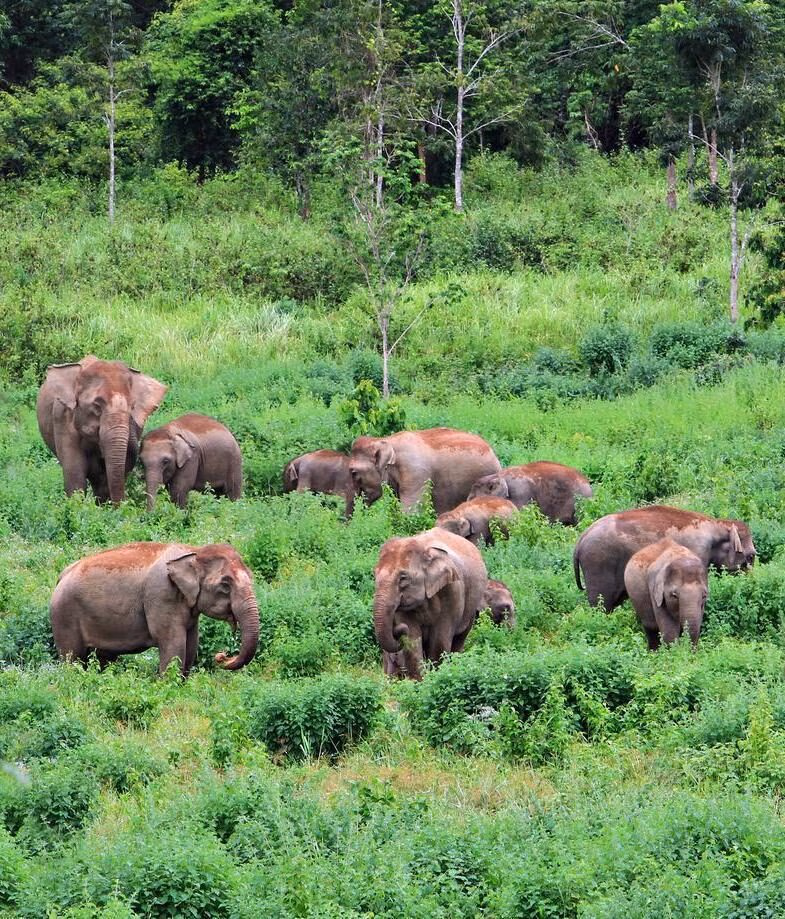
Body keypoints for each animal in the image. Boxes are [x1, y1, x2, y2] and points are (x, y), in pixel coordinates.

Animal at [50, 542, 260, 677]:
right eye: (225, 585)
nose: (221, 656)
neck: (194, 551)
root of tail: (61, 576)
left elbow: (191, 644)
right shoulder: (162, 595)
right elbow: (173, 643)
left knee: (105, 658)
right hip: (64, 615)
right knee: (72, 657)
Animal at [373, 527, 488, 680]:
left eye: (403, 578)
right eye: (374, 575)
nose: (398, 629)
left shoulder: (452, 590)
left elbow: (440, 638)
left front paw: (436, 676)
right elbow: (412, 638)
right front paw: (417, 681)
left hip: (471, 607)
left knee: (460, 638)